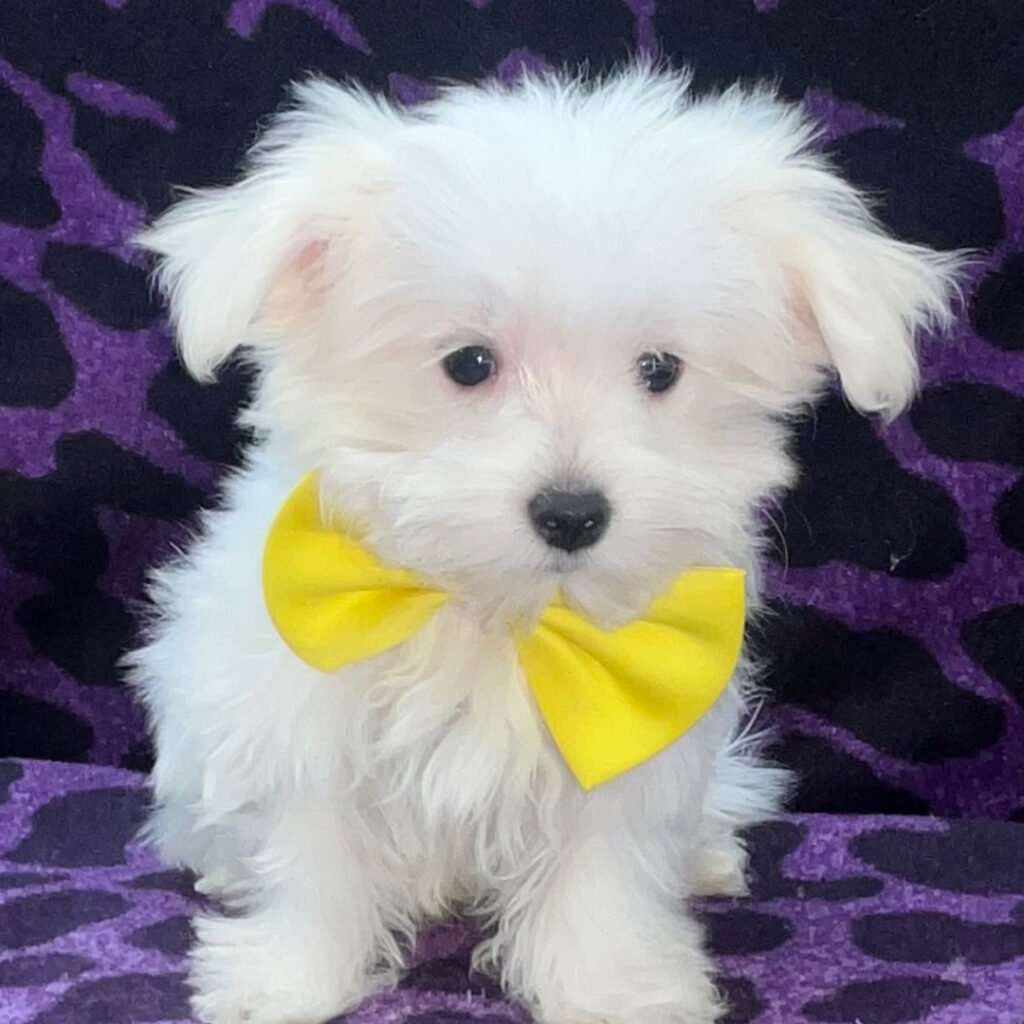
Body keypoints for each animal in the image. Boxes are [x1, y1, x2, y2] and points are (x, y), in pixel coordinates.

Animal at [129, 66, 960, 1024]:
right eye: (468, 364)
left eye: (660, 370)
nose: (571, 513)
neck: (503, 613)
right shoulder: (299, 711)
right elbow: (316, 859)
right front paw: (287, 980)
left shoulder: (632, 735)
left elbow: (599, 879)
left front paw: (618, 991)